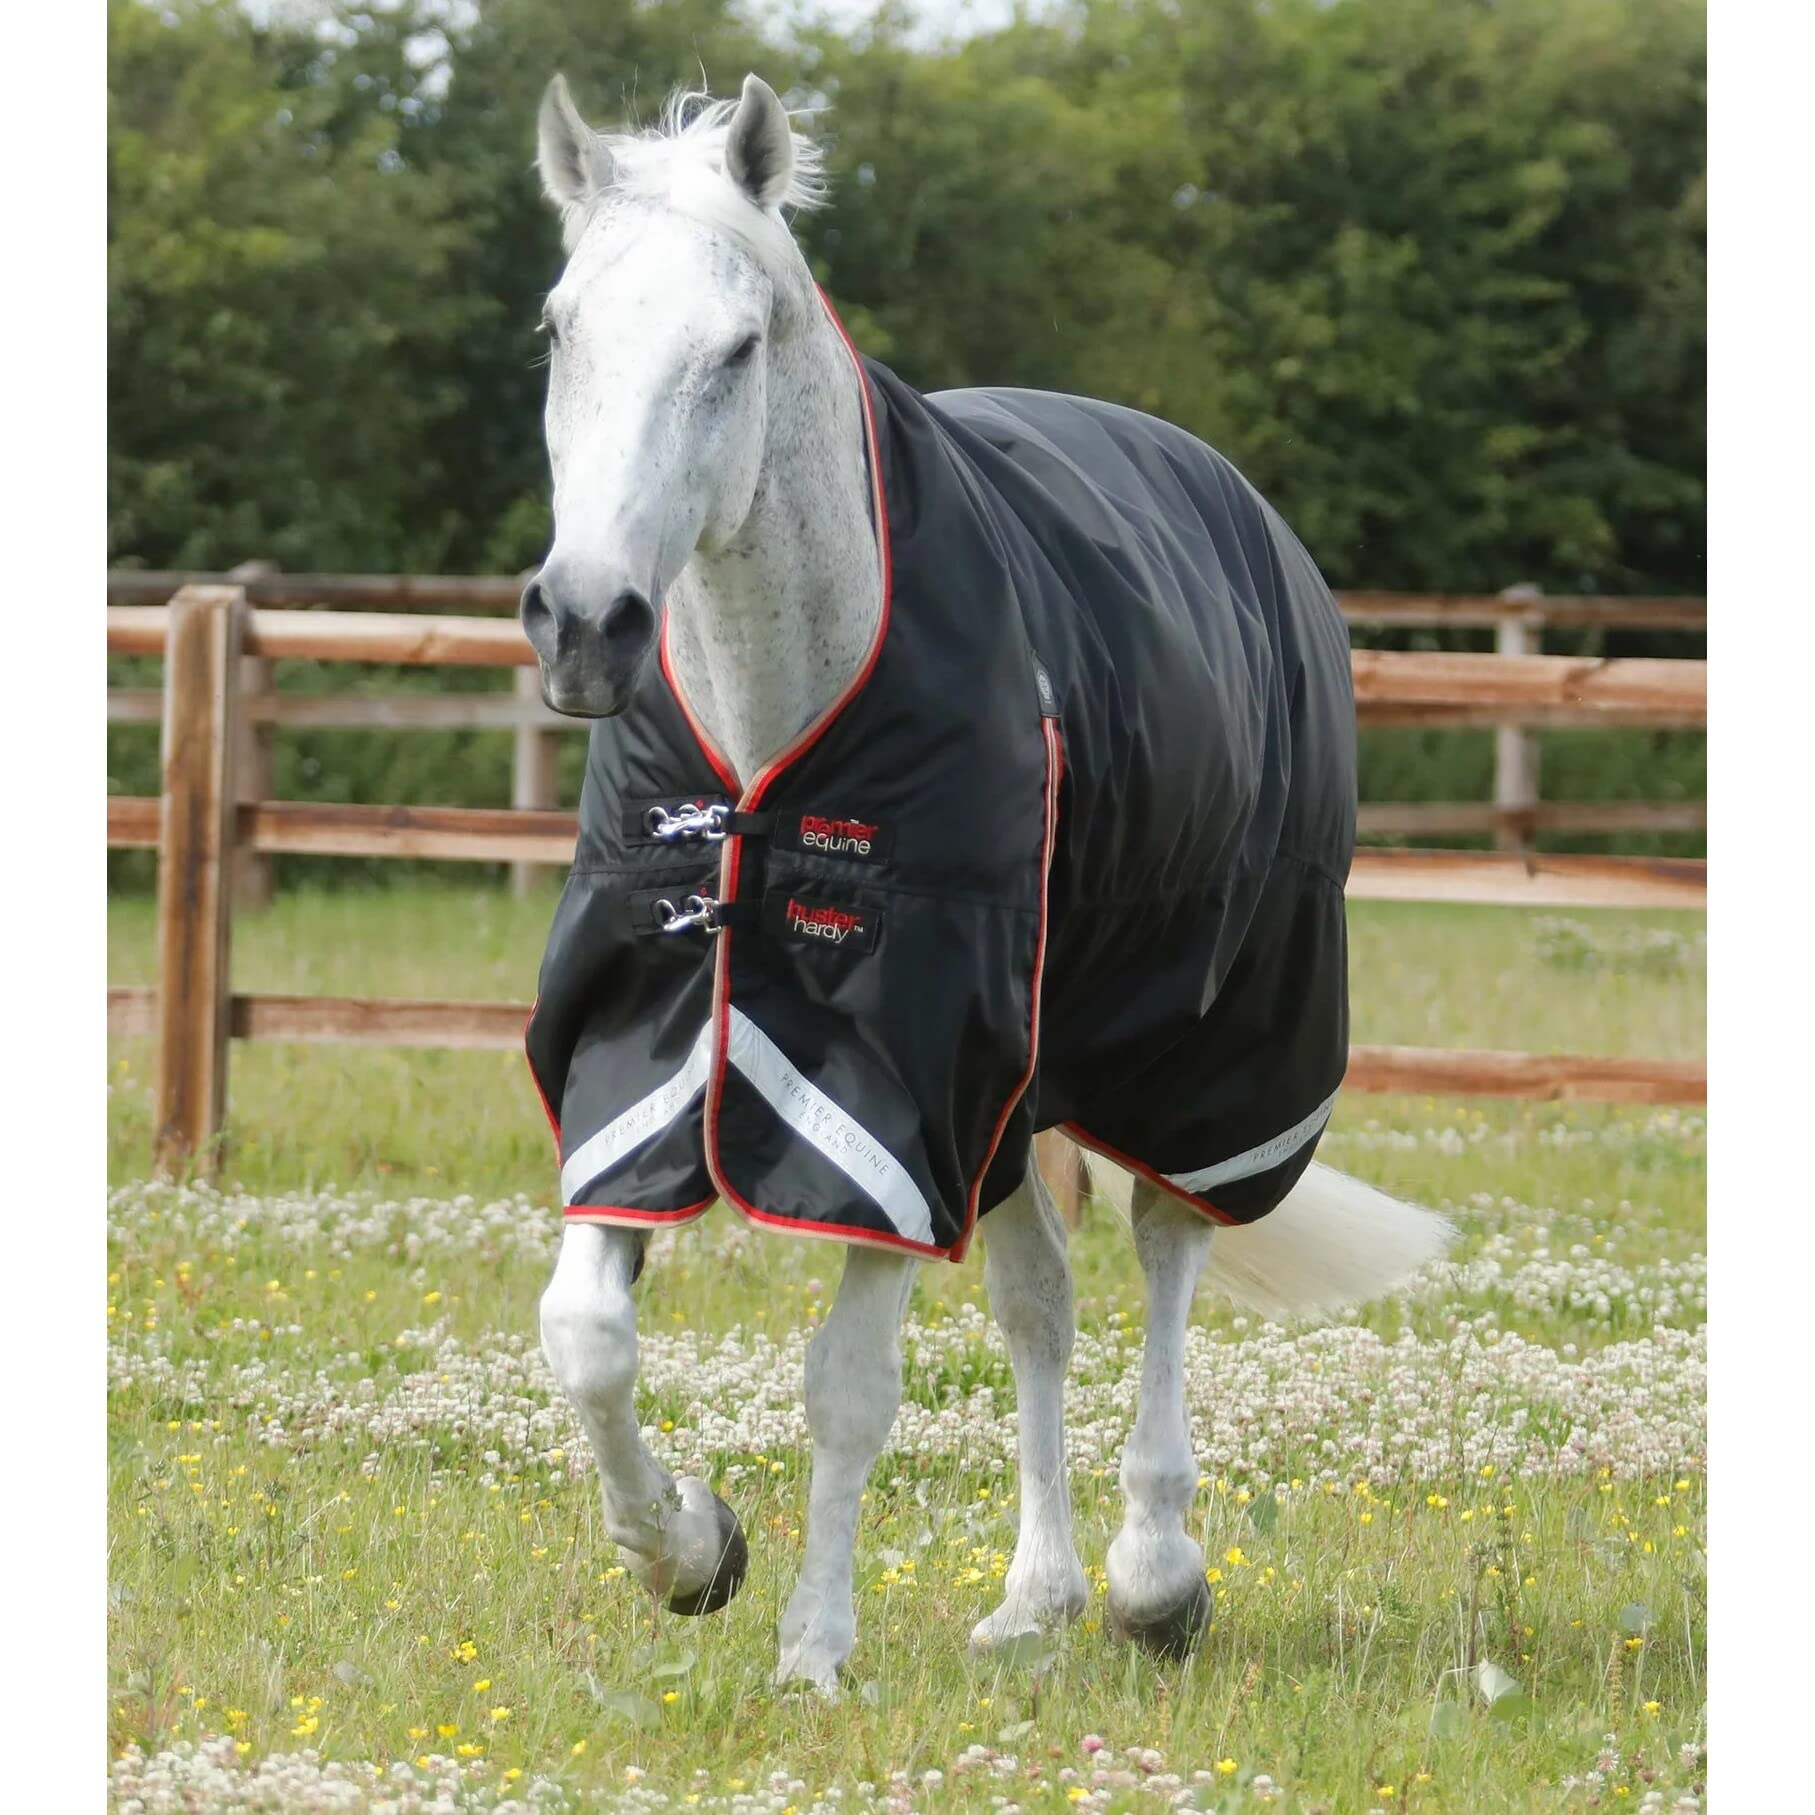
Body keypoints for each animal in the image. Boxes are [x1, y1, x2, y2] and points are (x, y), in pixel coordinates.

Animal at [521, 71, 1453, 1693]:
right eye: (563, 329)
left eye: (736, 348)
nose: (586, 623)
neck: (773, 748)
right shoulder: (655, 1036)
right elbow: (585, 1331)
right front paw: (690, 1550)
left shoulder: (896, 1078)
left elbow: (847, 1378)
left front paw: (812, 1648)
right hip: (1025, 1085)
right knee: (1041, 1305)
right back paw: (1037, 1595)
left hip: (1199, 1050)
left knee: (1165, 1250)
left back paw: (1152, 1579)